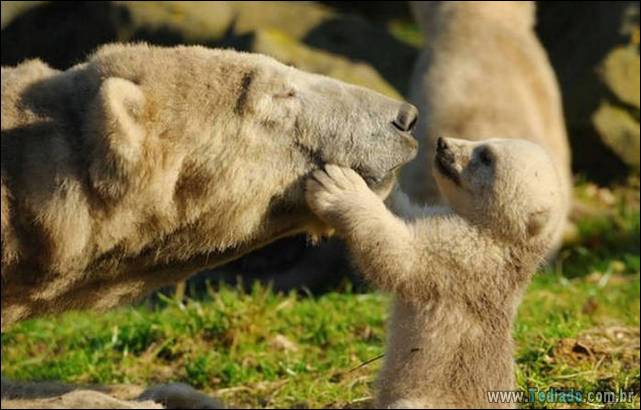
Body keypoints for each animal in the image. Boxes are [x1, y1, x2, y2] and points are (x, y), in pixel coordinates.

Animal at [308, 137, 564, 406]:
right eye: (483, 142)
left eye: (486, 157)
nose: (443, 143)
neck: (501, 242)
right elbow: (406, 214)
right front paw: (384, 178)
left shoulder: (466, 260)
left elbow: (403, 257)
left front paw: (340, 188)